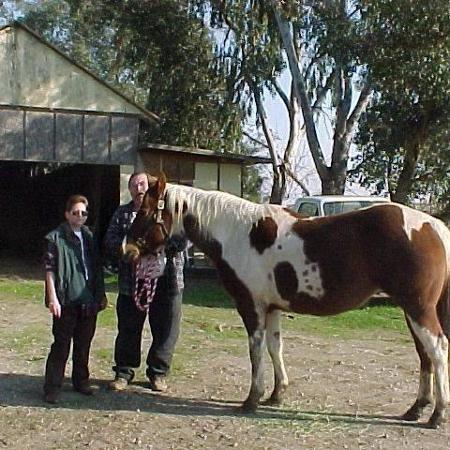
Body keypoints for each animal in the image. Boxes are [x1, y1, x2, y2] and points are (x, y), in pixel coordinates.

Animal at [123, 173, 450, 428]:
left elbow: (255, 350)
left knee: (437, 349)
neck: (238, 234)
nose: (127, 250)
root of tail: (435, 227)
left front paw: (252, 399)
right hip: (412, 310)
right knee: (424, 355)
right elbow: (274, 347)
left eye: (146, 211)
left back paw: (437, 416)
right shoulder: (272, 308)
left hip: (418, 308)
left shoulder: (251, 307)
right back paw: (416, 409)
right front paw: (277, 394)